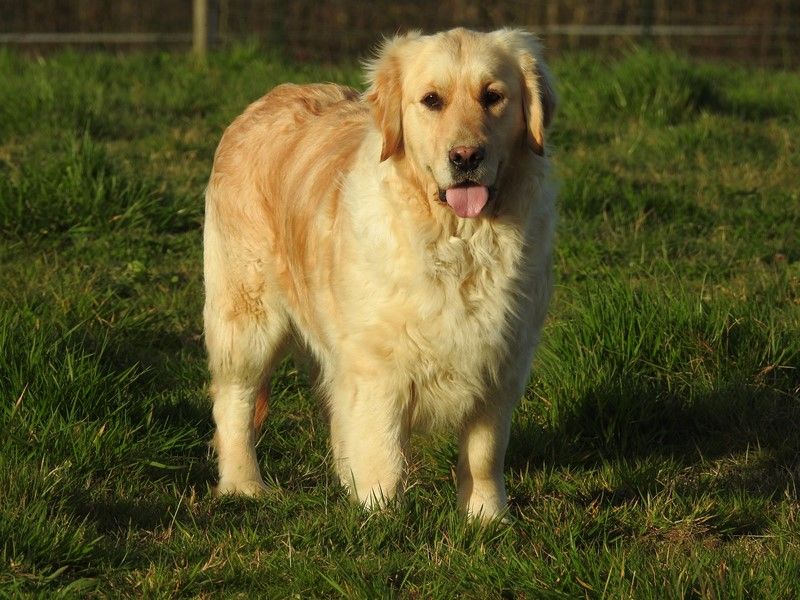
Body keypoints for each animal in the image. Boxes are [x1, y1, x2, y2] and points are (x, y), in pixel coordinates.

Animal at [205, 28, 556, 516]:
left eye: (493, 97)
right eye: (431, 100)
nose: (466, 156)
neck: (458, 242)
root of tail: (266, 100)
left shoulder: (501, 363)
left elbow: (484, 454)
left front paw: (486, 517)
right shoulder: (378, 366)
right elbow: (385, 453)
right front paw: (381, 517)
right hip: (247, 318)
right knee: (234, 403)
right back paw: (244, 485)